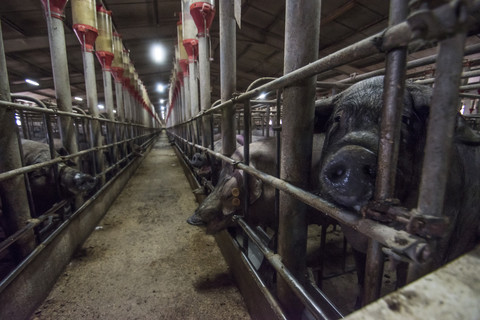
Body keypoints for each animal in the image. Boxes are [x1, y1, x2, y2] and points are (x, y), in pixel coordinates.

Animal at [316, 76, 480, 306]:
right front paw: (359, 304)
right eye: (337, 118)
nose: (354, 155)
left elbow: (404, 280)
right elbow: (362, 275)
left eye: (405, 119)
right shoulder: (355, 237)